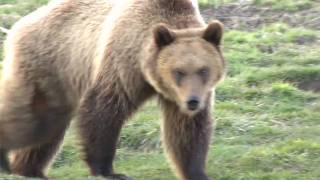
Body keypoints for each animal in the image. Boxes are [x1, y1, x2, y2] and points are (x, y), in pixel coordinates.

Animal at [0, 0, 225, 179]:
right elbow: (103, 110)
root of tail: (22, 23)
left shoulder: (180, 97)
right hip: (48, 67)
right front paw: (108, 171)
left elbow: (187, 130)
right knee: (29, 116)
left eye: (204, 70)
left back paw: (29, 170)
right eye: (178, 71)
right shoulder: (122, 64)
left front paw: (197, 172)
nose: (193, 101)